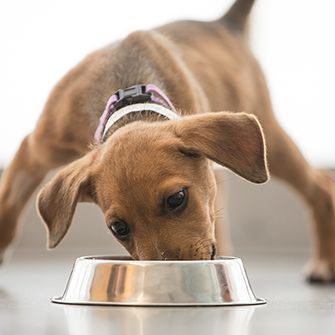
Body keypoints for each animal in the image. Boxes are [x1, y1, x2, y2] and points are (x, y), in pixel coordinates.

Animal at [0, 0, 335, 284]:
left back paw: (325, 263)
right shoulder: (33, 150)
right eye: (118, 228)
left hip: (272, 143)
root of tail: (223, 23)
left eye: (176, 199)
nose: (165, 272)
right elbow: (8, 206)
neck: (130, 100)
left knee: (320, 187)